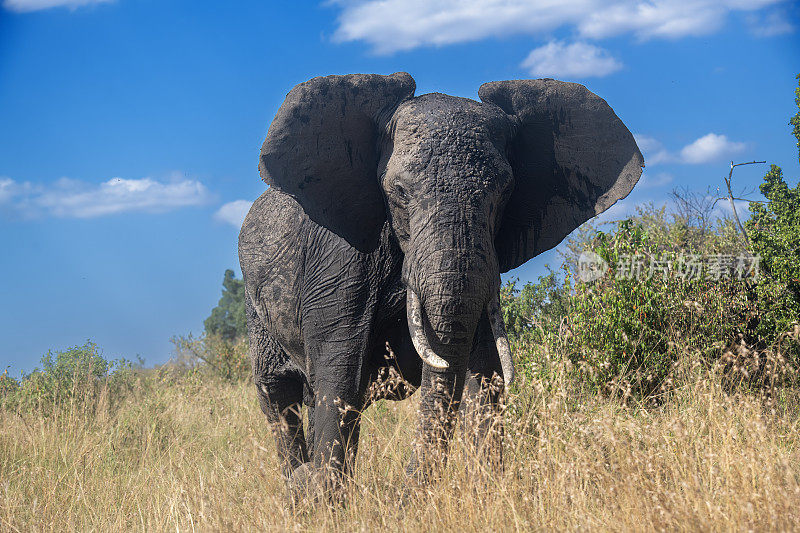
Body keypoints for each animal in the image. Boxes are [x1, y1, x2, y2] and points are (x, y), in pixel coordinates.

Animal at [239, 71, 644, 498]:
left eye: (505, 193)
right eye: (399, 192)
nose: (405, 495)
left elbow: (483, 376)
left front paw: (488, 495)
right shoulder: (337, 265)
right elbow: (339, 376)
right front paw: (324, 500)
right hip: (254, 309)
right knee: (279, 398)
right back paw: (297, 487)